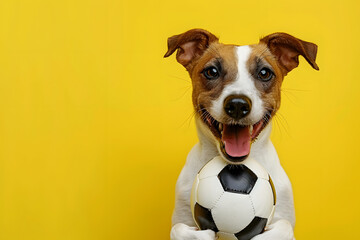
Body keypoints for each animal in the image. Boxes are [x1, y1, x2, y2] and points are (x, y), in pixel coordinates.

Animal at [163, 28, 318, 240]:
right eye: (212, 71)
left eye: (264, 73)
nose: (237, 105)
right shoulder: (182, 215)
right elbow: (178, 229)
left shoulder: (285, 216)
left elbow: (284, 226)